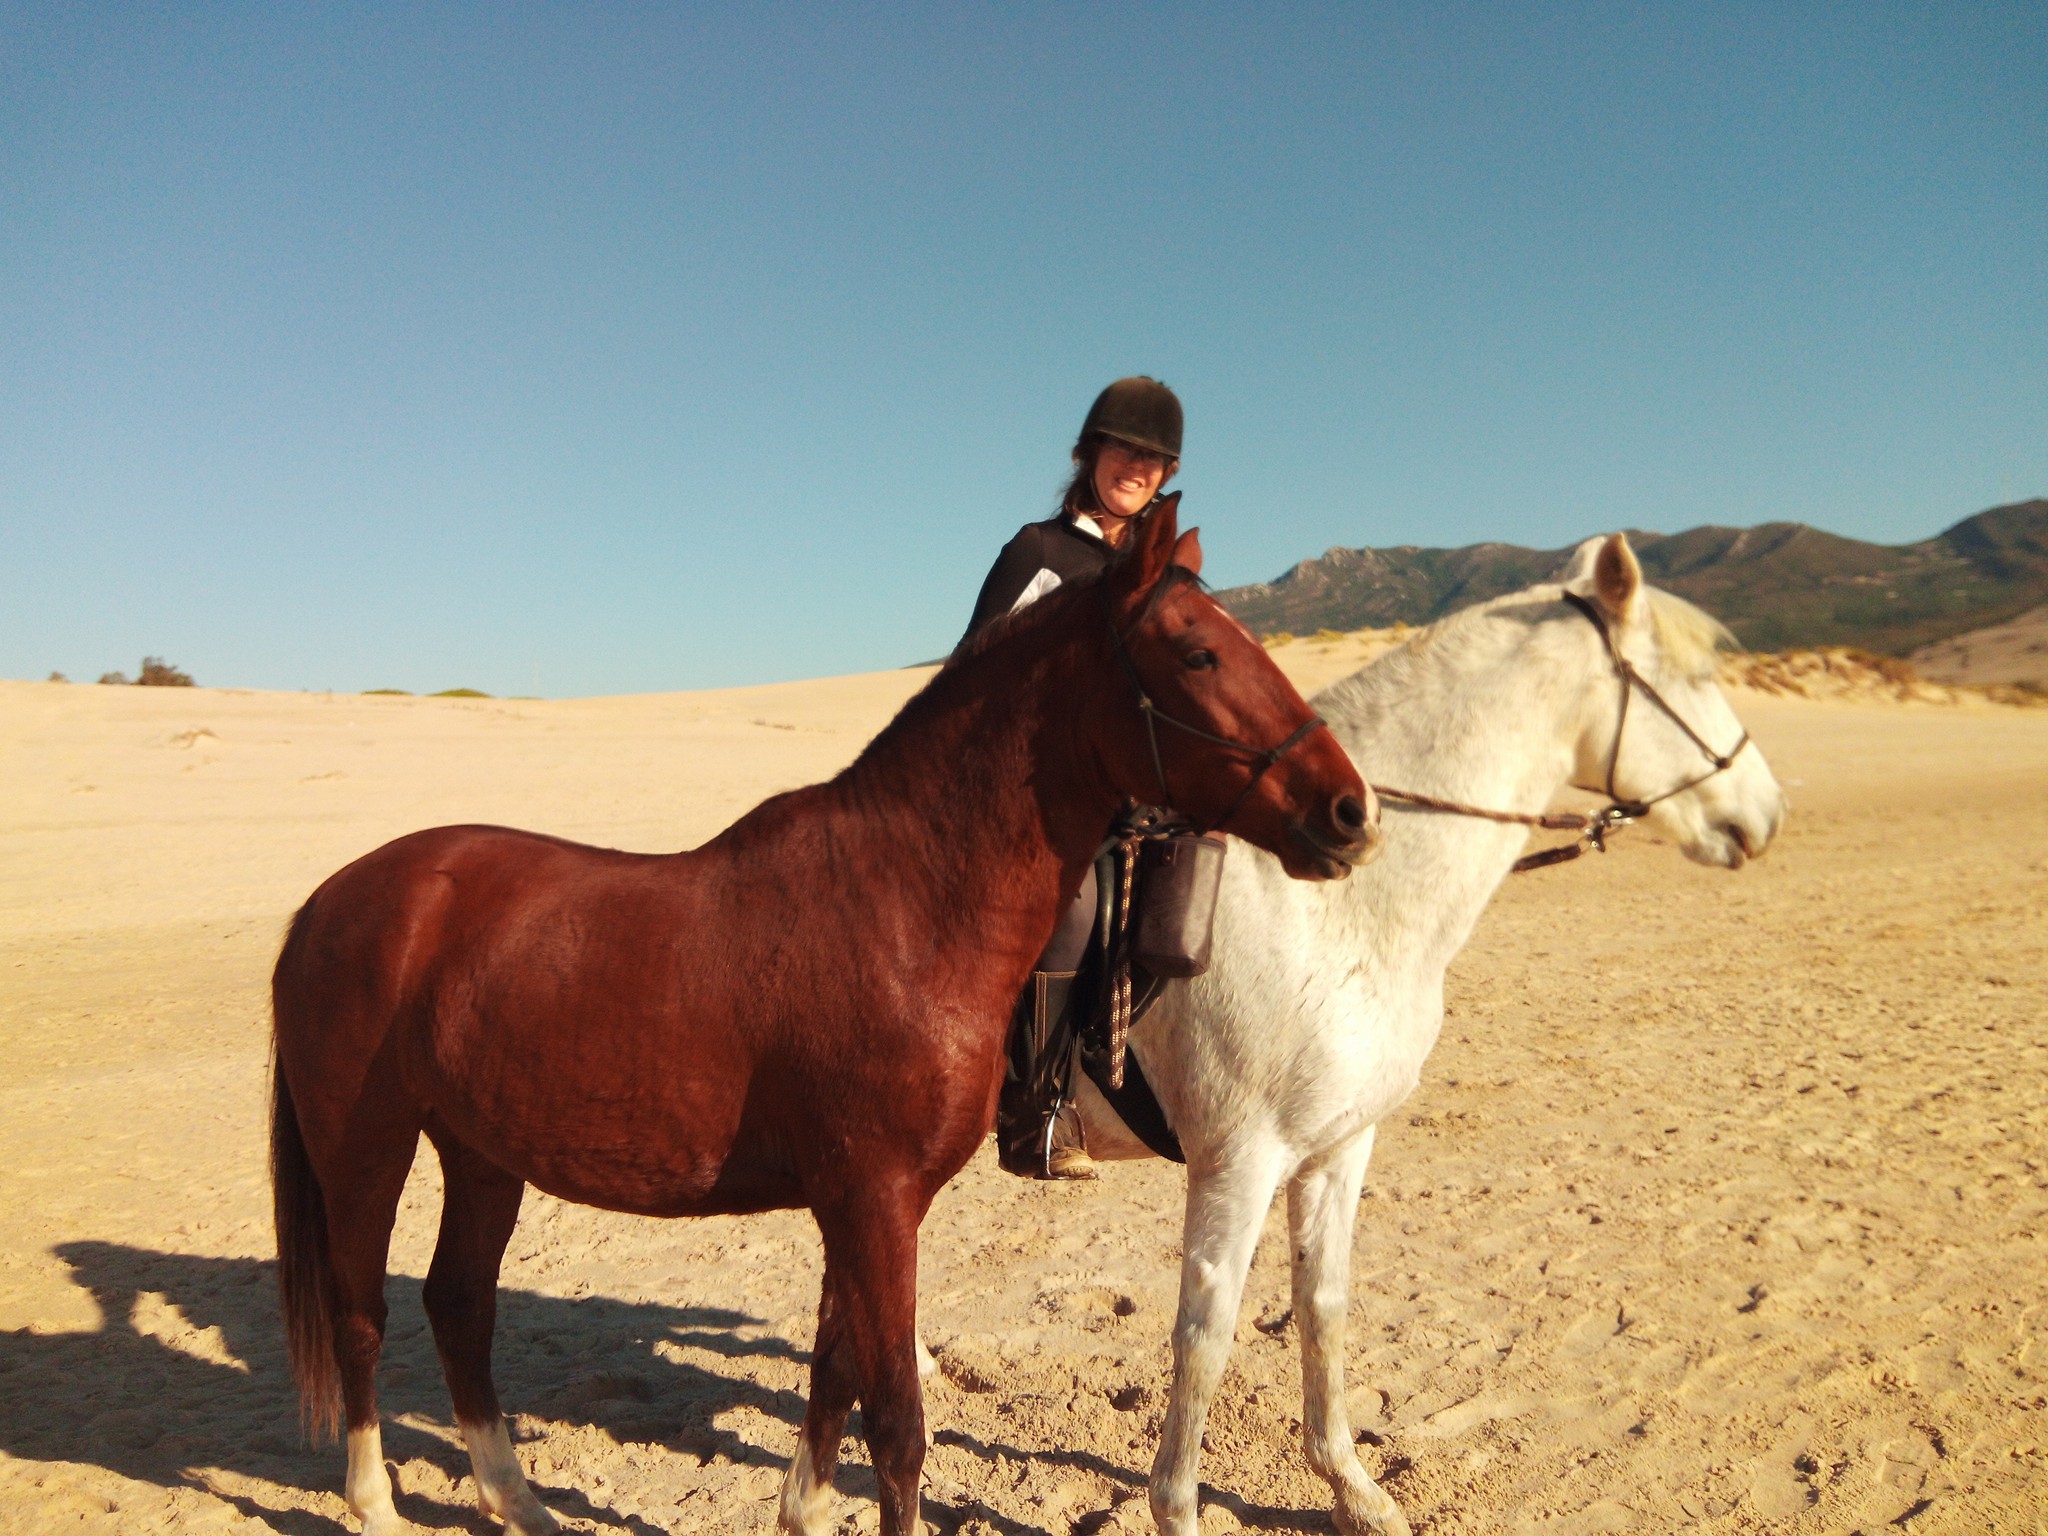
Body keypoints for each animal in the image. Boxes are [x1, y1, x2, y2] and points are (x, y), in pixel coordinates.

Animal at [268, 497, 1380, 1536]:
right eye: (1197, 652)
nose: (1349, 811)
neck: (905, 902)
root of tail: (335, 897)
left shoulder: (866, 1205)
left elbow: (833, 1377)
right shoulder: (872, 1201)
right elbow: (893, 1424)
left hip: (482, 1154)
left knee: (458, 1307)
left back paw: (518, 1501)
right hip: (367, 1149)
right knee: (362, 1312)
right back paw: (374, 1503)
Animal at [1066, 533, 1787, 1536]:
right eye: (1698, 676)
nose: (1766, 814)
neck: (1329, 901)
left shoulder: (1338, 1146)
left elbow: (1322, 1306)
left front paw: (1352, 1489)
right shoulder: (1237, 1159)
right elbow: (1205, 1340)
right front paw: (1177, 1510)